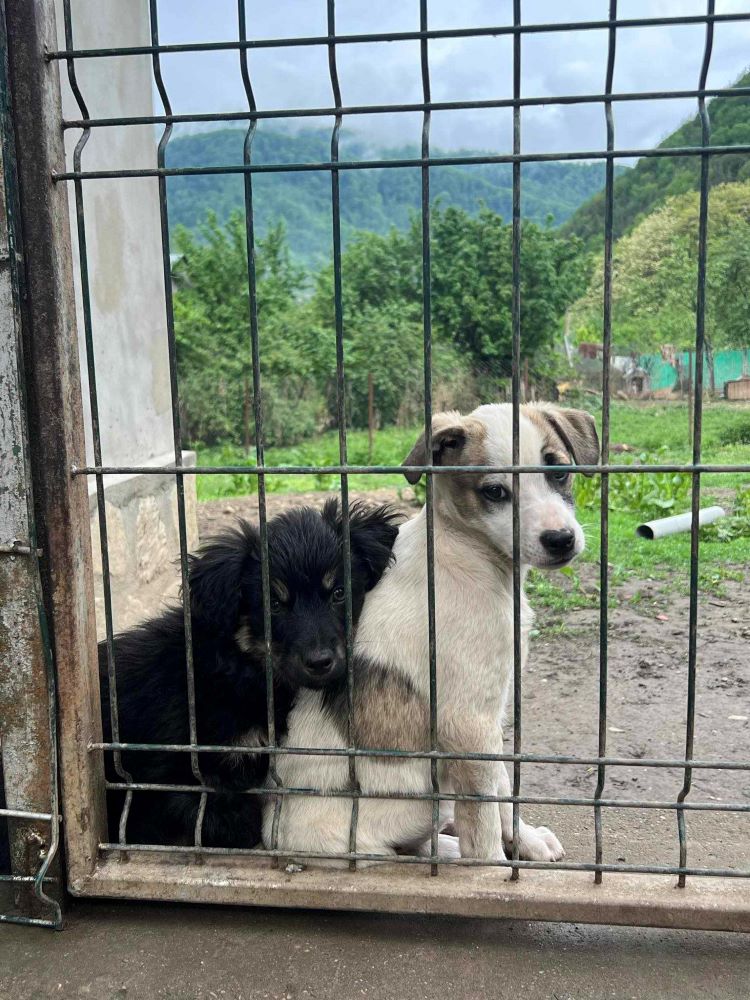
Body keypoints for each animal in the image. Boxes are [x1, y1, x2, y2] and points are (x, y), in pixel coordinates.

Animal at [103, 500, 402, 852]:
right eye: (273, 604)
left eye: (339, 592)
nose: (320, 662)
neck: (236, 666)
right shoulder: (171, 778)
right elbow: (228, 820)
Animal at [264, 404, 600, 868]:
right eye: (494, 492)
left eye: (560, 472)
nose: (561, 540)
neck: (468, 549)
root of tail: (269, 835)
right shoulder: (468, 721)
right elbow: (483, 815)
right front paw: (492, 869)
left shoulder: (491, 713)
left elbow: (503, 788)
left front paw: (526, 840)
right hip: (406, 810)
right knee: (401, 851)